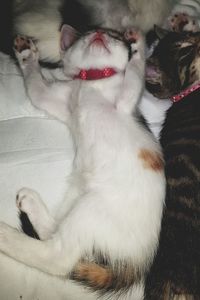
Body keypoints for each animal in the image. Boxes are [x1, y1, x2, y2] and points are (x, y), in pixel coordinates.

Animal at [0, 27, 166, 298]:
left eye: (114, 35)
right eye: (88, 32)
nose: (99, 32)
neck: (93, 83)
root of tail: (138, 261)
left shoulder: (126, 101)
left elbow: (134, 75)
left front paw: (137, 46)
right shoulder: (55, 99)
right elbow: (36, 89)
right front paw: (25, 54)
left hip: (93, 209)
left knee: (58, 257)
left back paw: (5, 235)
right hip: (76, 198)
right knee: (54, 236)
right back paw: (30, 204)